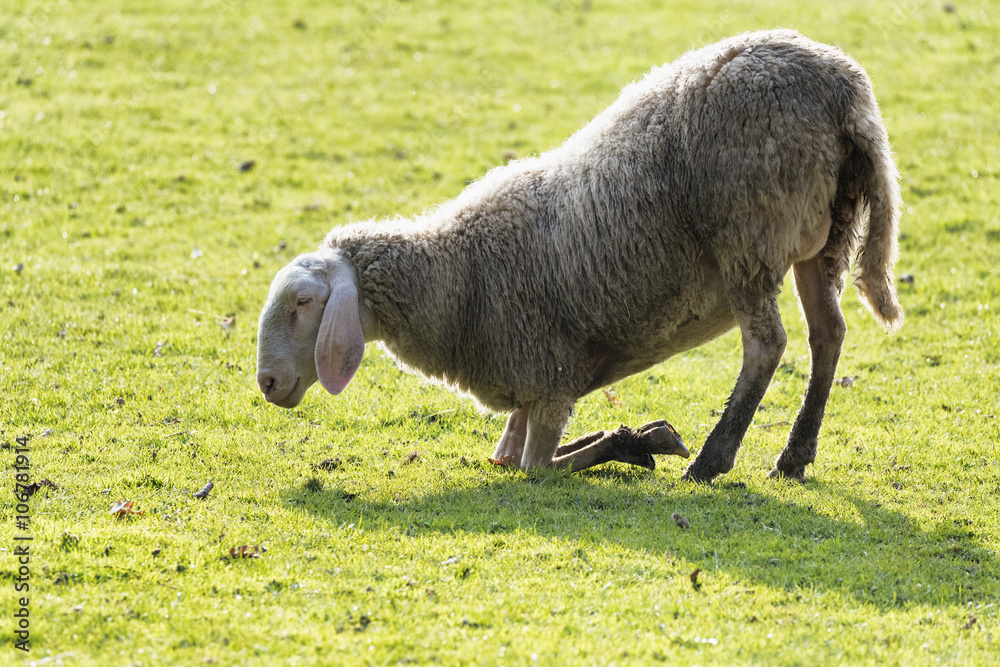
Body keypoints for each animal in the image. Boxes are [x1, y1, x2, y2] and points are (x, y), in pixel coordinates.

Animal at [256, 29, 903, 482]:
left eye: (304, 302)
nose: (267, 382)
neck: (457, 277)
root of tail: (843, 91)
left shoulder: (549, 377)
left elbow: (536, 467)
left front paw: (638, 444)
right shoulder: (533, 382)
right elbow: (506, 457)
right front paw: (644, 436)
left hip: (748, 231)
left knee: (767, 344)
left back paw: (713, 459)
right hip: (825, 234)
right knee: (827, 333)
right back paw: (794, 455)